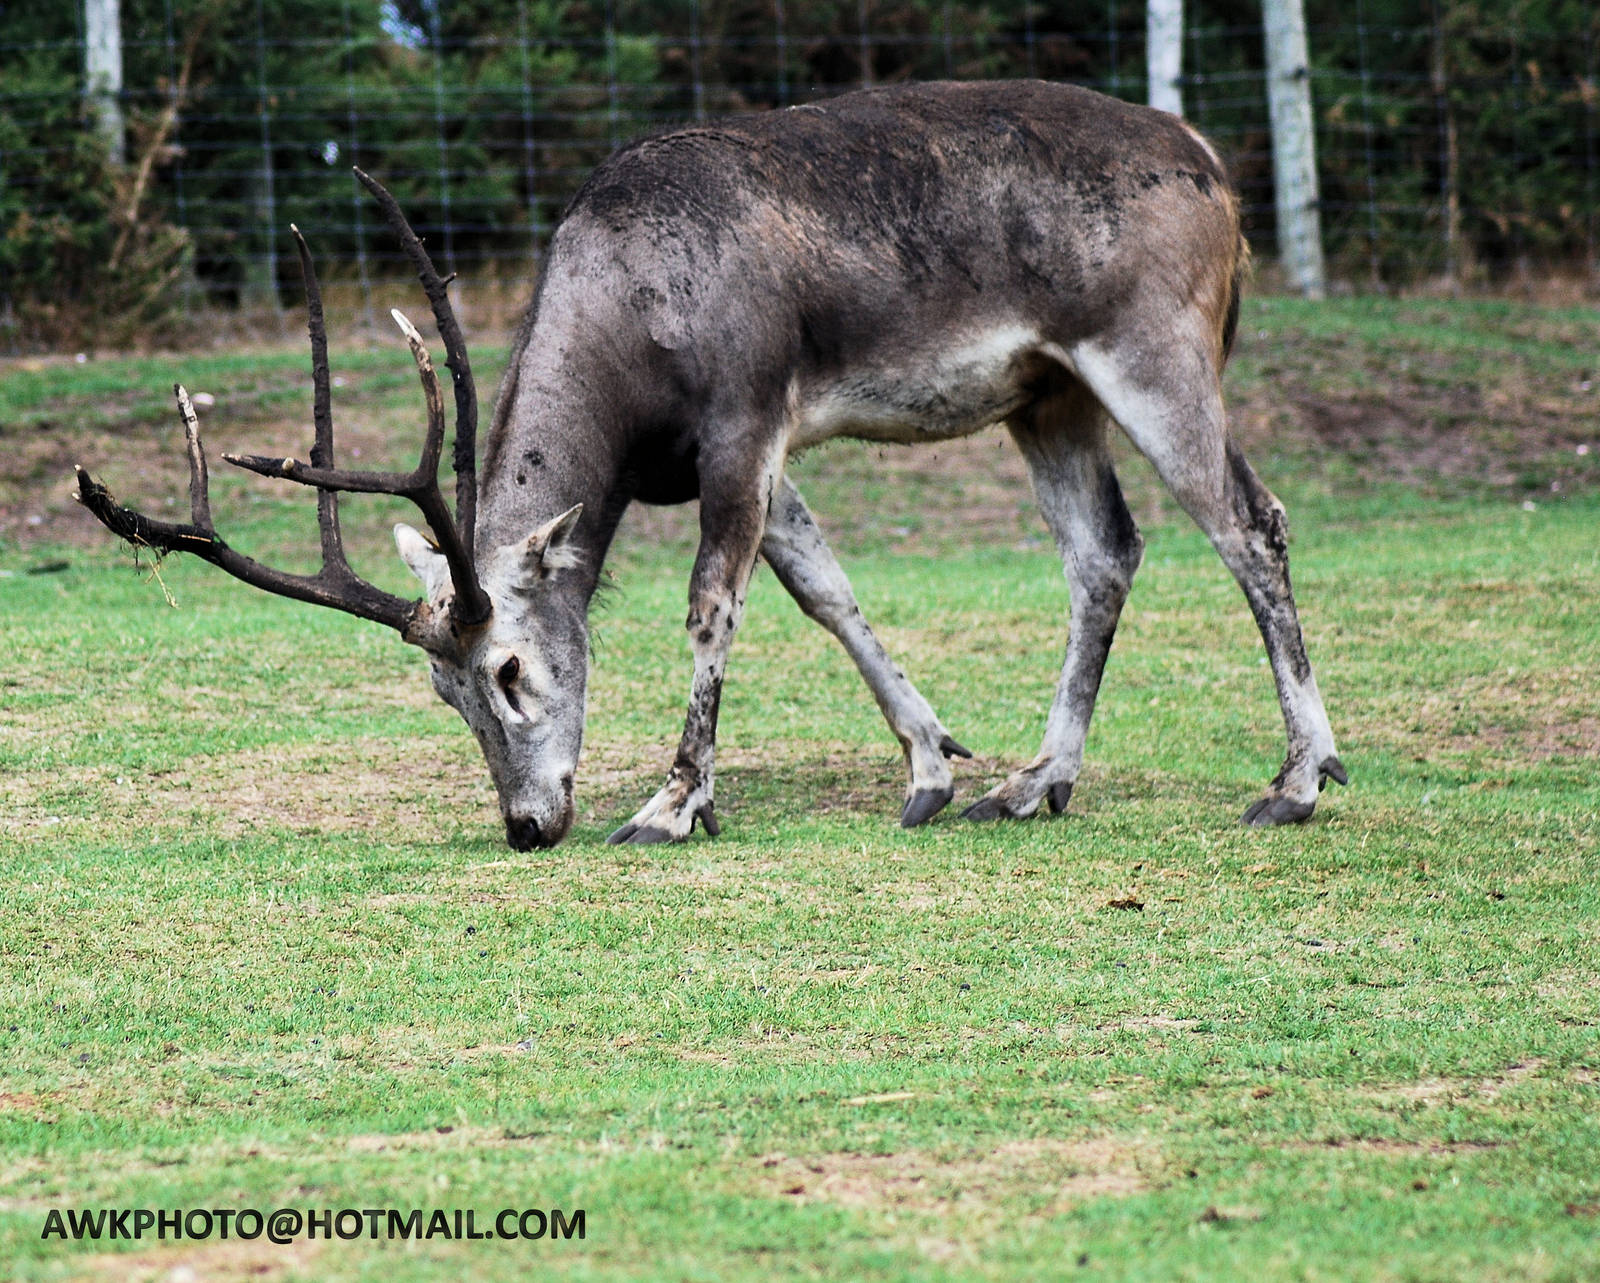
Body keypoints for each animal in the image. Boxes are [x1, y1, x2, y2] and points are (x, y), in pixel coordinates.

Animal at [76, 80, 1346, 851]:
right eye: (441, 689)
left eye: (510, 667)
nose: (527, 822)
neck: (631, 319)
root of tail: (1208, 161)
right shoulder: (740, 459)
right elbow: (823, 587)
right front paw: (930, 768)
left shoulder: (744, 419)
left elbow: (710, 602)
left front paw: (673, 799)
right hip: (1048, 394)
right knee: (1103, 552)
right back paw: (1032, 781)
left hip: (1150, 354)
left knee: (1250, 521)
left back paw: (1297, 780)